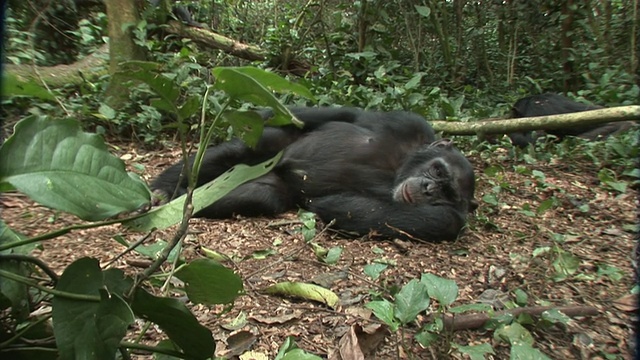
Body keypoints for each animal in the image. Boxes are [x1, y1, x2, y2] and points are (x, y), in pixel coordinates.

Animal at [152, 107, 478, 242]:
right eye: (437, 169)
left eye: (447, 192)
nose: (428, 188)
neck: (398, 169)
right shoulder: (411, 123)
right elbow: (345, 115)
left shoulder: (449, 221)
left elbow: (352, 209)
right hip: (275, 150)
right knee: (243, 149)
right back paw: (165, 189)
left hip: (270, 183)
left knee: (260, 196)